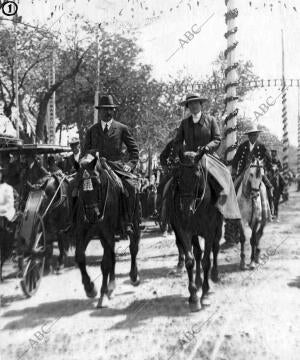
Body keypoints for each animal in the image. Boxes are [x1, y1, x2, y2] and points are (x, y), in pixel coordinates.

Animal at [75, 154, 141, 306]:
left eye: (97, 183)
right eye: (80, 184)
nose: (92, 215)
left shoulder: (107, 232)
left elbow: (105, 264)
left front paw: (103, 292)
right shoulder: (85, 231)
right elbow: (80, 256)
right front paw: (89, 288)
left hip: (134, 224)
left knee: (133, 248)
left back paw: (133, 276)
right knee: (112, 255)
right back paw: (112, 285)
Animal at [169, 150, 223, 310]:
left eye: (196, 175)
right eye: (179, 176)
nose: (186, 209)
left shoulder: (210, 231)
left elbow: (206, 261)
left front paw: (205, 295)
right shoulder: (185, 231)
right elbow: (190, 260)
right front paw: (193, 295)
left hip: (218, 228)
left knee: (215, 248)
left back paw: (214, 275)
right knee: (198, 253)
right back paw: (198, 281)